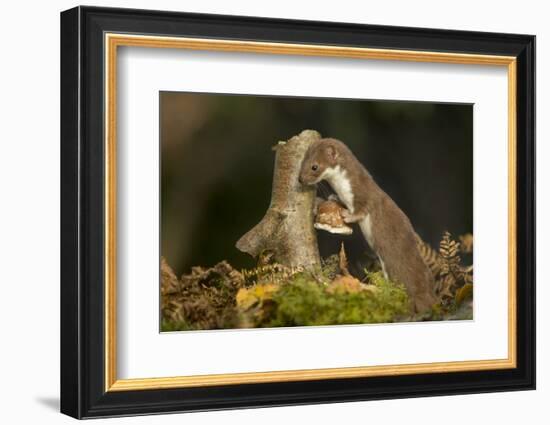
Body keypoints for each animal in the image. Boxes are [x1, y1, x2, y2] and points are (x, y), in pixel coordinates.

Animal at [300, 137, 438, 314]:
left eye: (314, 166)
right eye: (303, 161)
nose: (300, 179)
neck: (343, 188)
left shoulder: (364, 194)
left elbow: (363, 209)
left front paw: (347, 214)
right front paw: (334, 197)